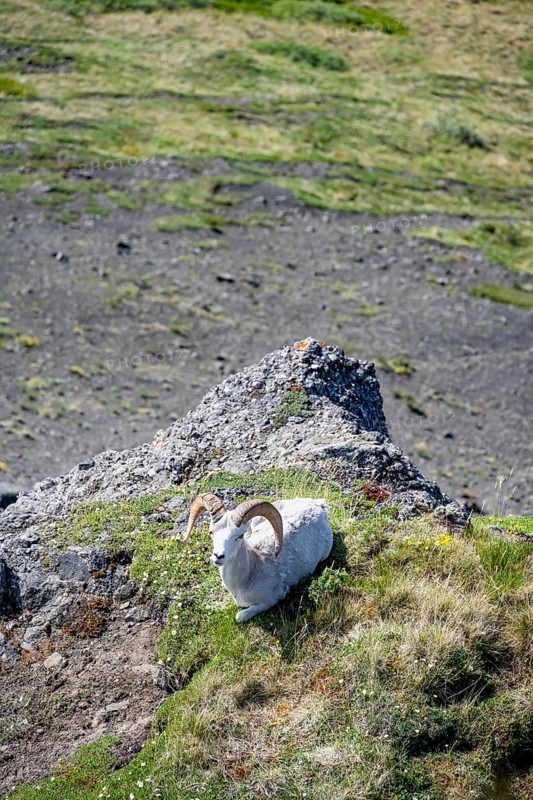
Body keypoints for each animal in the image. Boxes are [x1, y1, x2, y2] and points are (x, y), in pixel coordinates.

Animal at [182, 493, 333, 622]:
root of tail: (319, 505)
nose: (218, 556)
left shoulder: (273, 598)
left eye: (240, 536)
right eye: (211, 532)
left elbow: (240, 616)